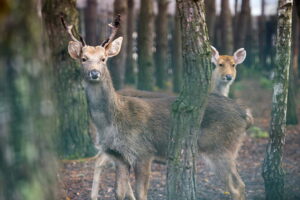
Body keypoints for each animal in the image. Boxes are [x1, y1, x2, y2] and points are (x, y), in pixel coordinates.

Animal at [62, 15, 252, 200]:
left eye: (103, 59)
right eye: (83, 59)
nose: (94, 73)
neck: (112, 122)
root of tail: (246, 115)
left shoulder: (144, 151)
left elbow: (141, 194)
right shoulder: (119, 156)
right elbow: (118, 193)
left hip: (220, 147)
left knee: (237, 187)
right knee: (239, 185)